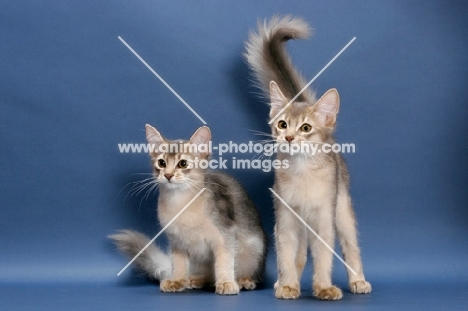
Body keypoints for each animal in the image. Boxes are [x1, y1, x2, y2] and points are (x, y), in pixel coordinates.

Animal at [107, 125, 266, 294]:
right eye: (161, 163)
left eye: (183, 163)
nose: (168, 175)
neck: (180, 203)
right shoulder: (177, 241)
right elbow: (178, 263)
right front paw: (176, 280)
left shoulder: (226, 234)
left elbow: (225, 260)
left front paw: (226, 282)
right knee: (208, 276)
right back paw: (195, 280)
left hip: (254, 249)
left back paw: (243, 280)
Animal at [245, 15, 372, 302]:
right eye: (282, 124)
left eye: (305, 128)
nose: (289, 137)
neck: (302, 171)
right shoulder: (285, 220)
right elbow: (286, 257)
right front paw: (288, 286)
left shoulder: (324, 219)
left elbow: (324, 257)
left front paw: (324, 287)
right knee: (300, 255)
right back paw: (284, 283)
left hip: (342, 210)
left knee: (351, 248)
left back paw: (358, 281)